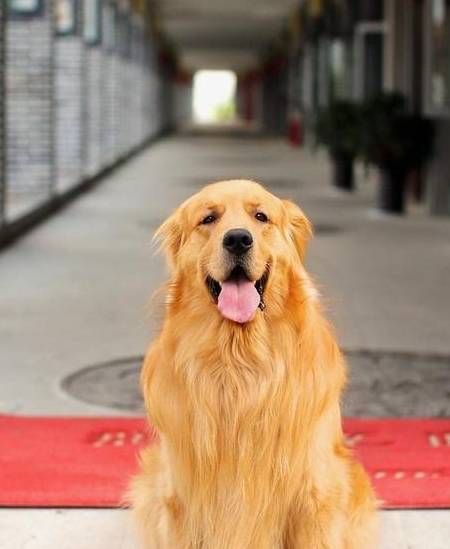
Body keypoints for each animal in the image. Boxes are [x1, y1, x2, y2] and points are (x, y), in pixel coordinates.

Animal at [129, 180, 376, 548]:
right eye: (208, 218)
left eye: (261, 216)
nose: (237, 239)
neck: (239, 363)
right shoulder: (181, 500)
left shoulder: (314, 497)